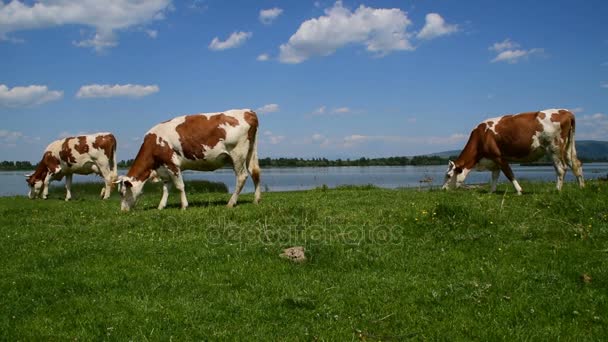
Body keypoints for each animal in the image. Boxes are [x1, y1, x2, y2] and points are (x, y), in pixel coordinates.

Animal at [117, 109, 262, 211]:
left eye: (122, 193)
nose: (123, 210)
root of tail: (248, 111)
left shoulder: (172, 164)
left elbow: (179, 186)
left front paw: (183, 206)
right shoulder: (164, 169)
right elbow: (166, 188)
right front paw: (161, 206)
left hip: (237, 154)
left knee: (242, 176)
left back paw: (231, 203)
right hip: (251, 152)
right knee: (255, 172)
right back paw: (256, 200)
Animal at [442, 109, 584, 195]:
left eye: (448, 175)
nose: (442, 189)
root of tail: (566, 112)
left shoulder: (499, 157)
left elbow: (509, 174)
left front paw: (519, 191)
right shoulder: (493, 161)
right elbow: (495, 177)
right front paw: (491, 192)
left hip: (554, 147)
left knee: (561, 168)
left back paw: (557, 190)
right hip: (567, 147)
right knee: (576, 163)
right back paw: (582, 187)